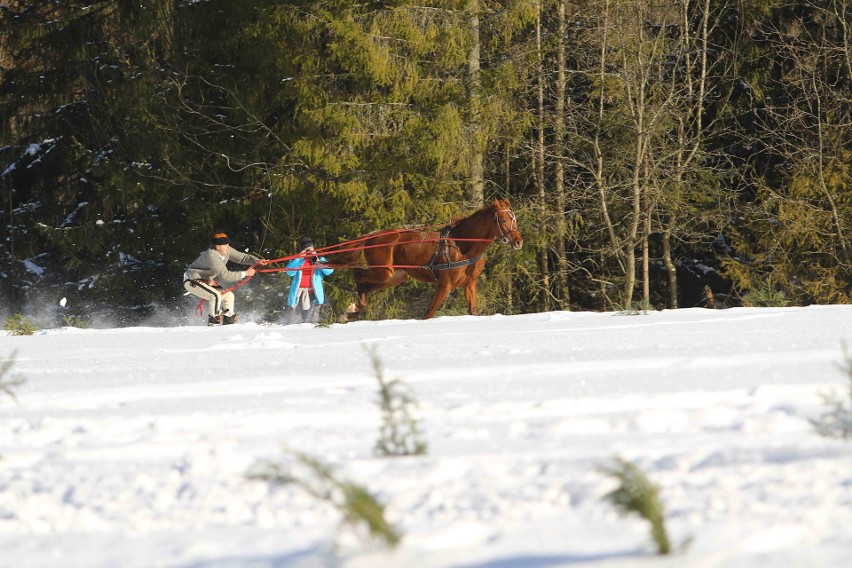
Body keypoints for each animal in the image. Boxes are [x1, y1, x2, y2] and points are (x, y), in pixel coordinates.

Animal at [344, 197, 520, 320]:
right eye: (503, 219)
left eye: (515, 219)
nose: (518, 241)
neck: (461, 246)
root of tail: (373, 236)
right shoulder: (445, 285)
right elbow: (429, 313)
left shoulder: (469, 284)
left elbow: (473, 311)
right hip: (383, 271)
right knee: (358, 274)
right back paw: (353, 309)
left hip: (394, 277)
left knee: (366, 285)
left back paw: (353, 310)